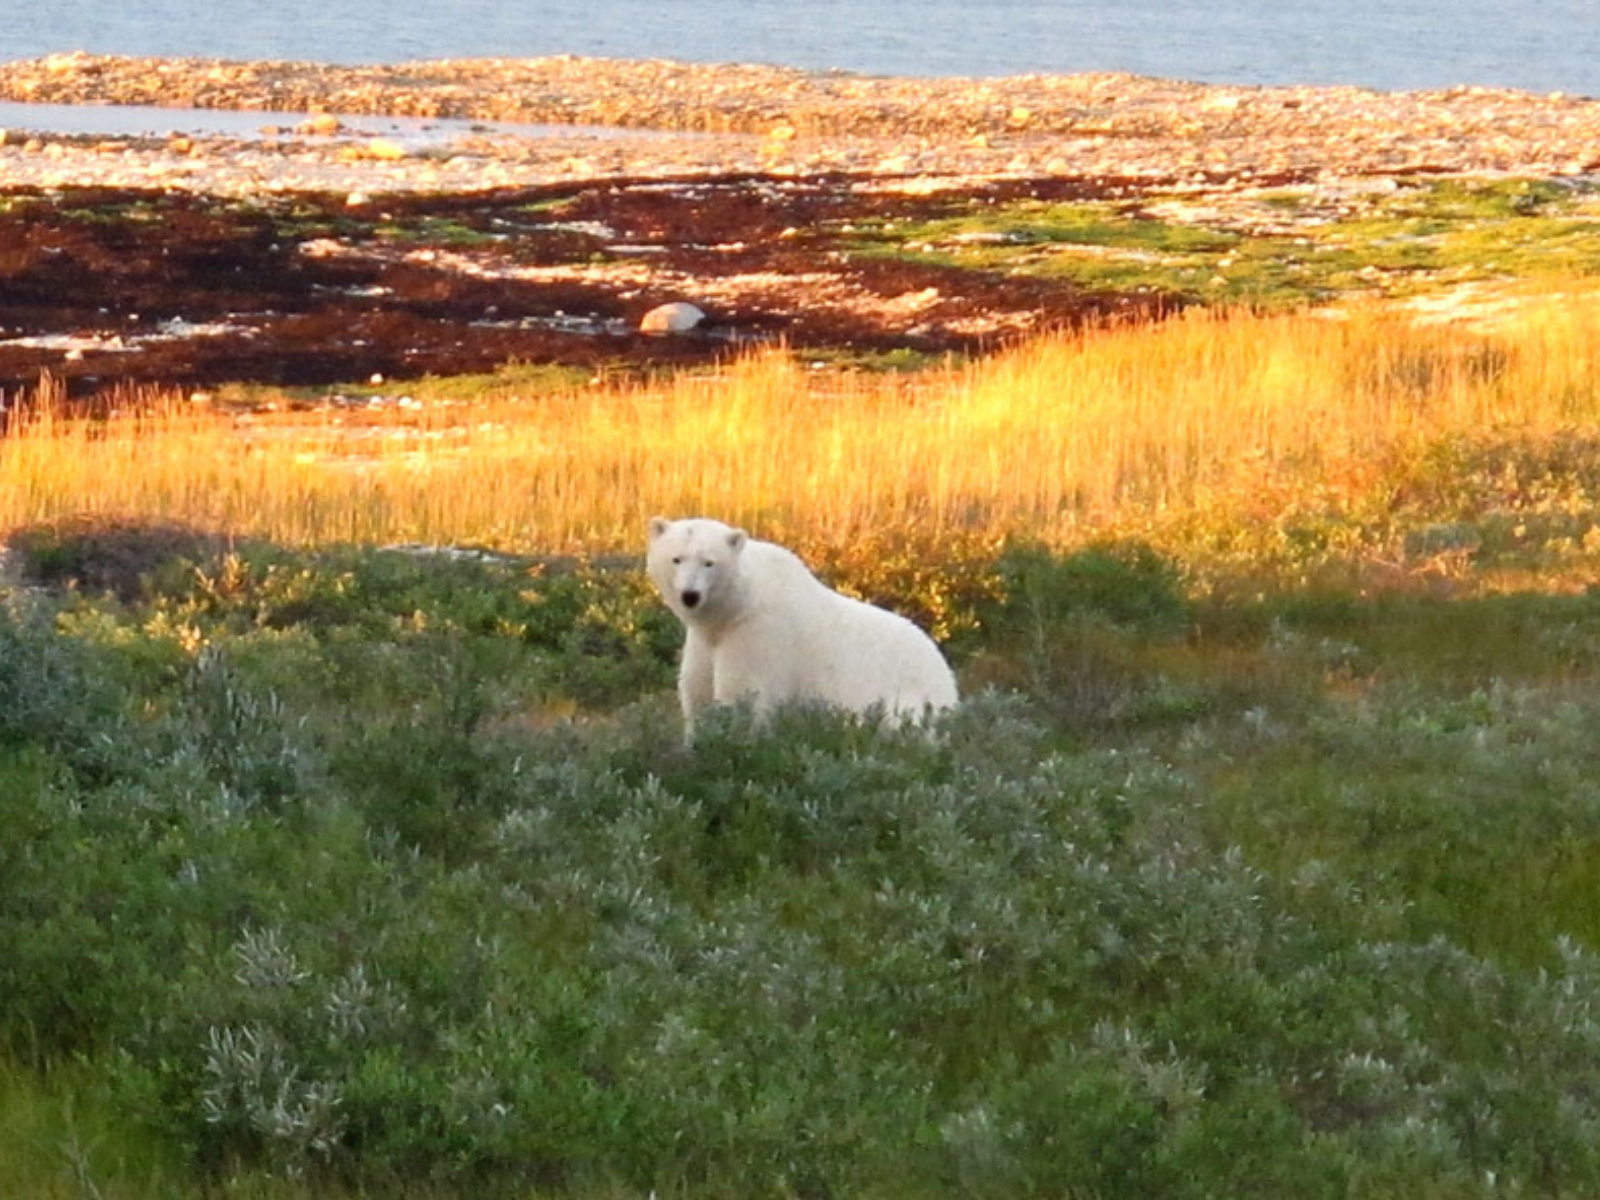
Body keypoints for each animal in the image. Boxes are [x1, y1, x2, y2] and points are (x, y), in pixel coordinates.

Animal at [643, 515, 953, 739]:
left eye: (709, 562)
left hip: (908, 696)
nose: (690, 595)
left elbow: (744, 693)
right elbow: (697, 689)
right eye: (676, 558)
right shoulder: (707, 638)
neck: (736, 607)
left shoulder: (759, 633)